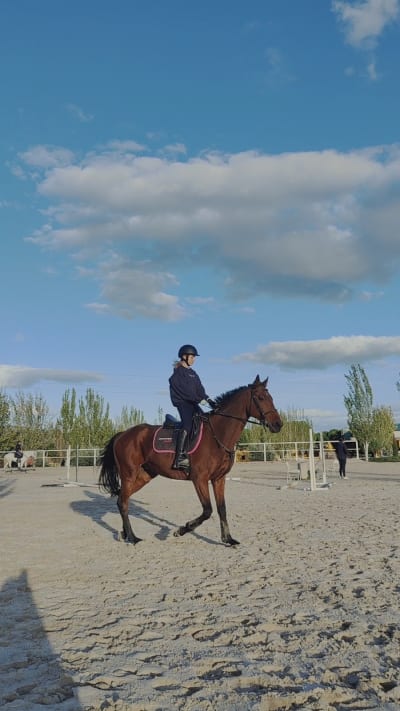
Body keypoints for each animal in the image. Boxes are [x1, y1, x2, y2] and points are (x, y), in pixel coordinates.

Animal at [99, 375, 282, 546]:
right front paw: (181, 530)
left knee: (123, 499)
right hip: (129, 474)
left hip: (144, 476)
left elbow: (222, 509)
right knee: (123, 502)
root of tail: (122, 434)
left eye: (271, 397)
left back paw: (125, 534)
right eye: (260, 398)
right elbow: (207, 510)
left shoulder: (219, 479)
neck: (217, 434)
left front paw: (228, 539)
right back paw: (132, 537)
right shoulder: (199, 479)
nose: (278, 424)